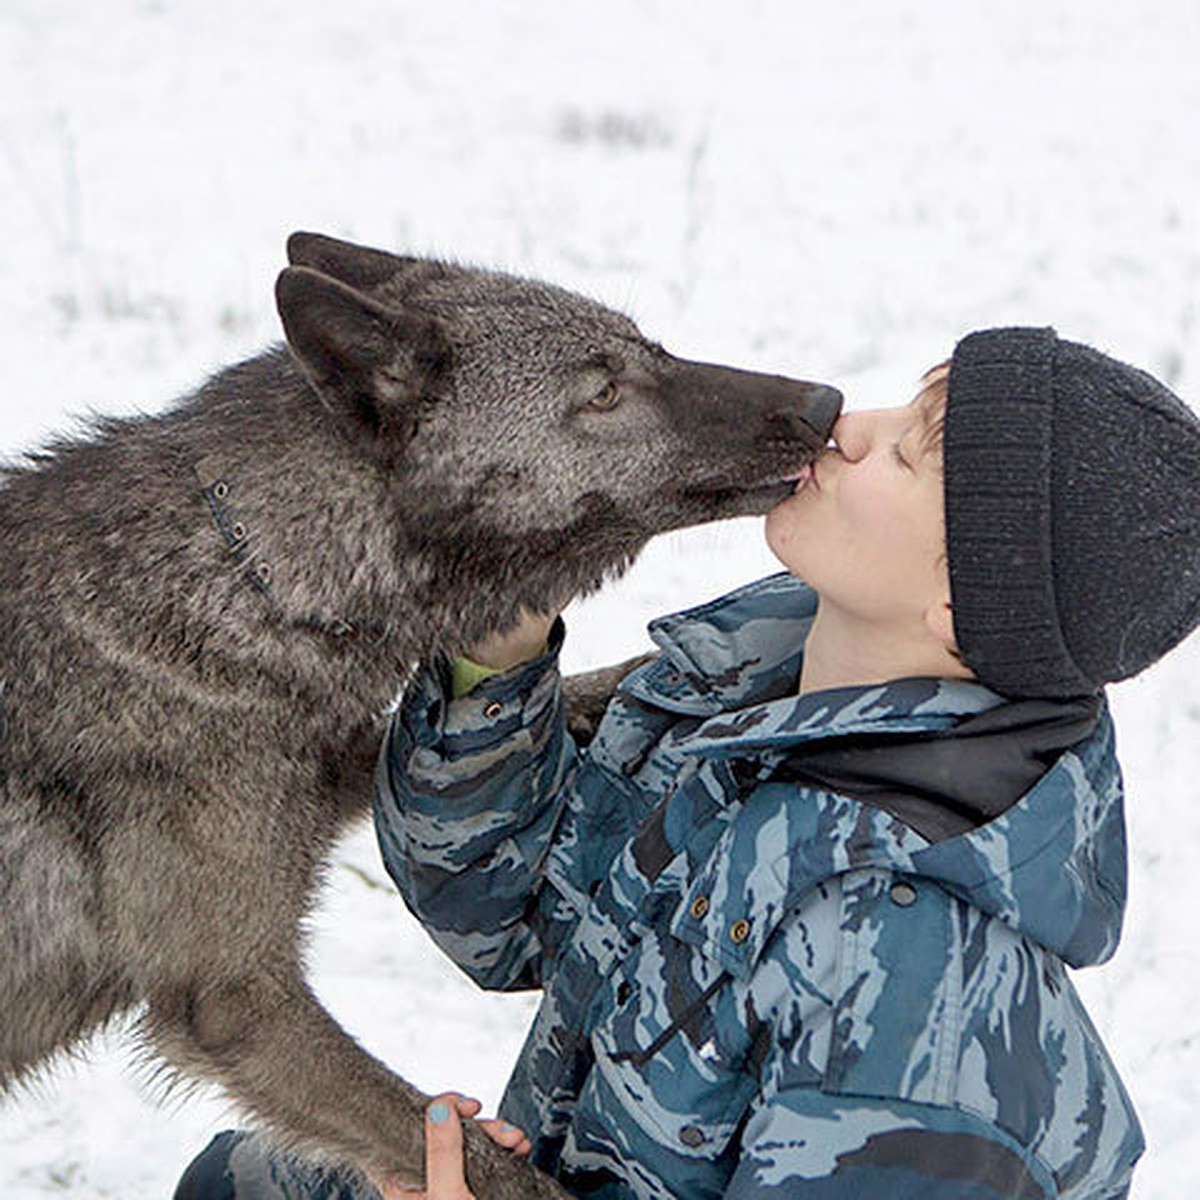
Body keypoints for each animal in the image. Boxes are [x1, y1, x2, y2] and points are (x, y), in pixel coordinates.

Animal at [0, 229, 844, 1195]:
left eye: (651, 350)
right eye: (602, 391)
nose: (825, 401)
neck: (249, 574)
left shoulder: (340, 761)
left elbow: (578, 693)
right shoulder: (238, 1001)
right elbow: (496, 1167)